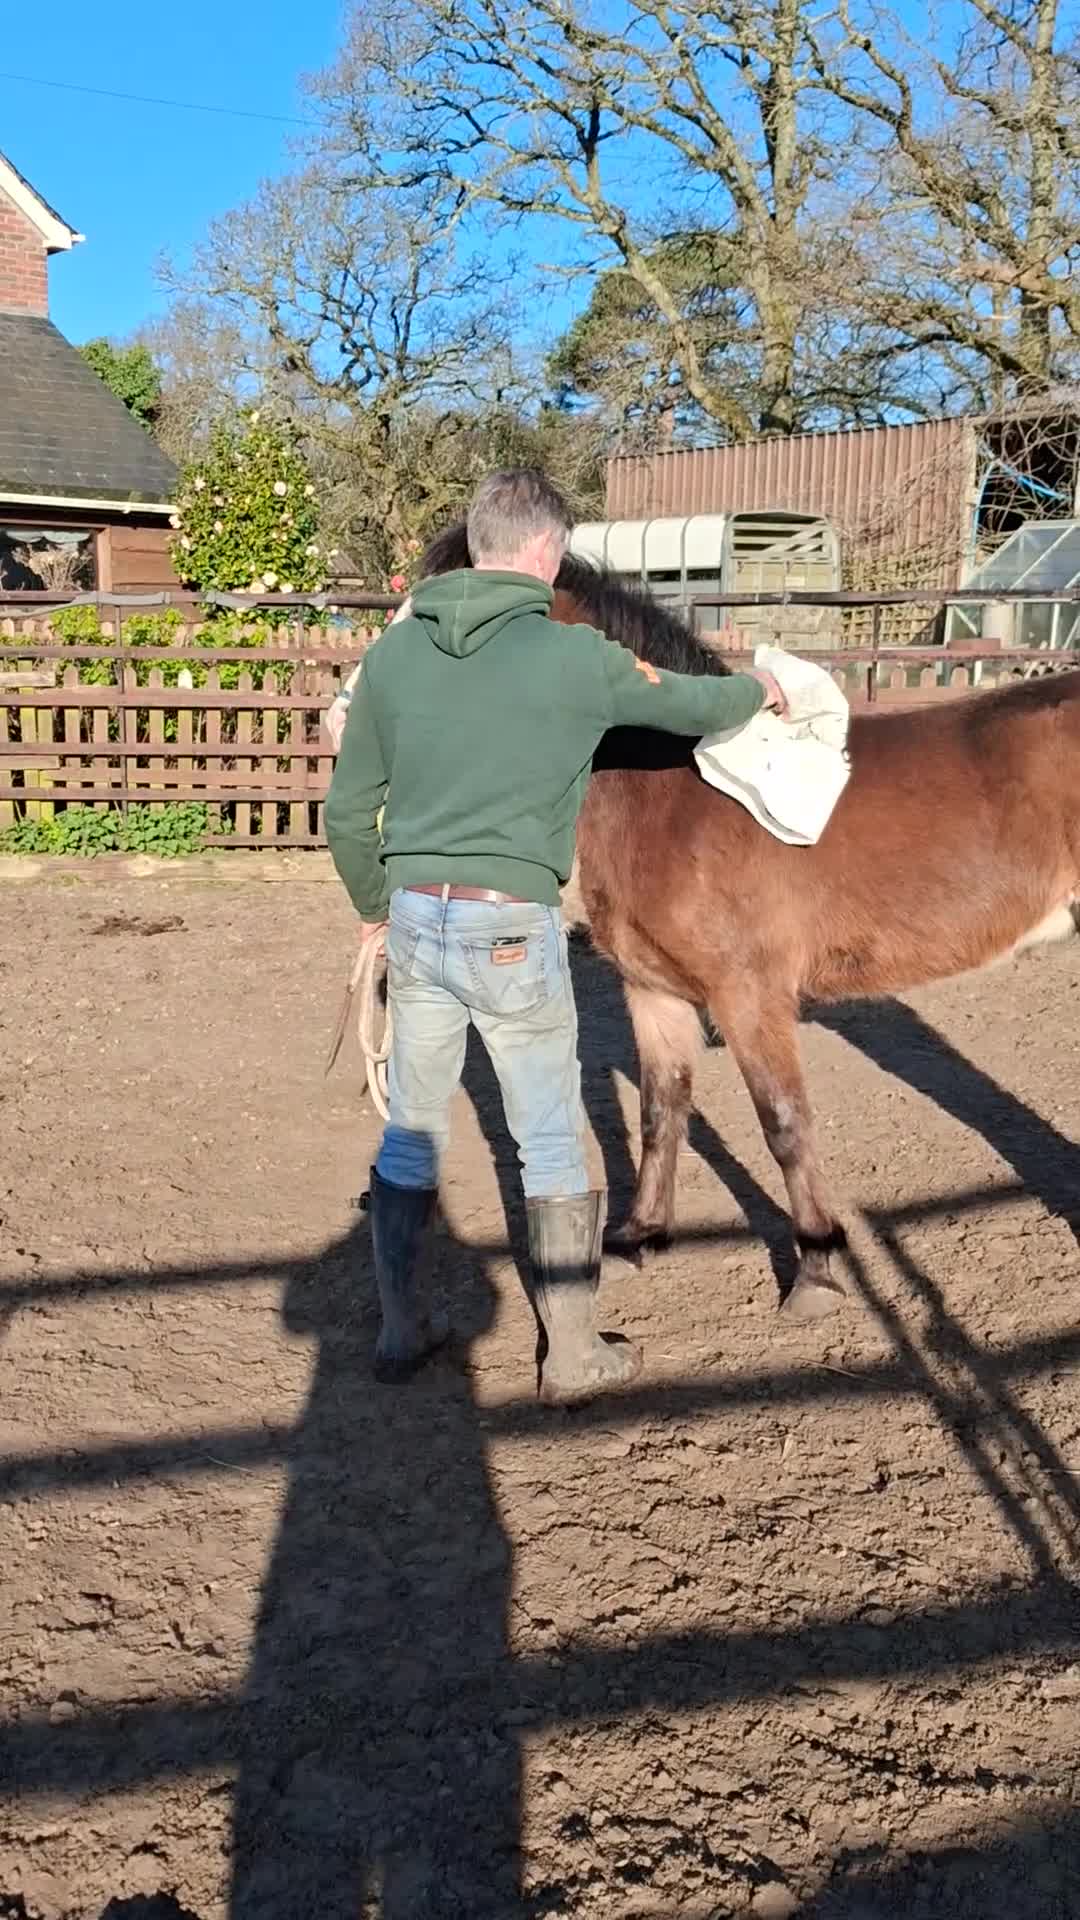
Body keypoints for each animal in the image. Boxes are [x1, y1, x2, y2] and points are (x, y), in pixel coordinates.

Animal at [420, 524, 1080, 1320]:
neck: (670, 793)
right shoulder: (655, 993)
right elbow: (661, 1111)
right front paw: (640, 1237)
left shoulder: (750, 997)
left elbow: (785, 1124)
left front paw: (818, 1267)